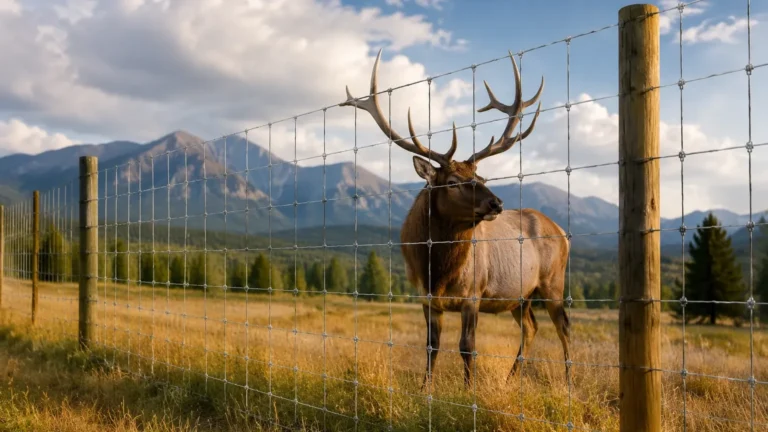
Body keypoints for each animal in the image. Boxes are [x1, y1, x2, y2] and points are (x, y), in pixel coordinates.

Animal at [340, 49, 571, 389]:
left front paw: (468, 389)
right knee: (531, 327)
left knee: (563, 326)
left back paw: (569, 381)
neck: (437, 271)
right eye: (451, 181)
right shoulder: (425, 297)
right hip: (520, 294)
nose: (496, 202)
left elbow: (467, 346)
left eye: (479, 176)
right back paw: (510, 380)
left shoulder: (473, 293)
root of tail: (563, 232)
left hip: (553, 281)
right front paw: (425, 388)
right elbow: (431, 345)